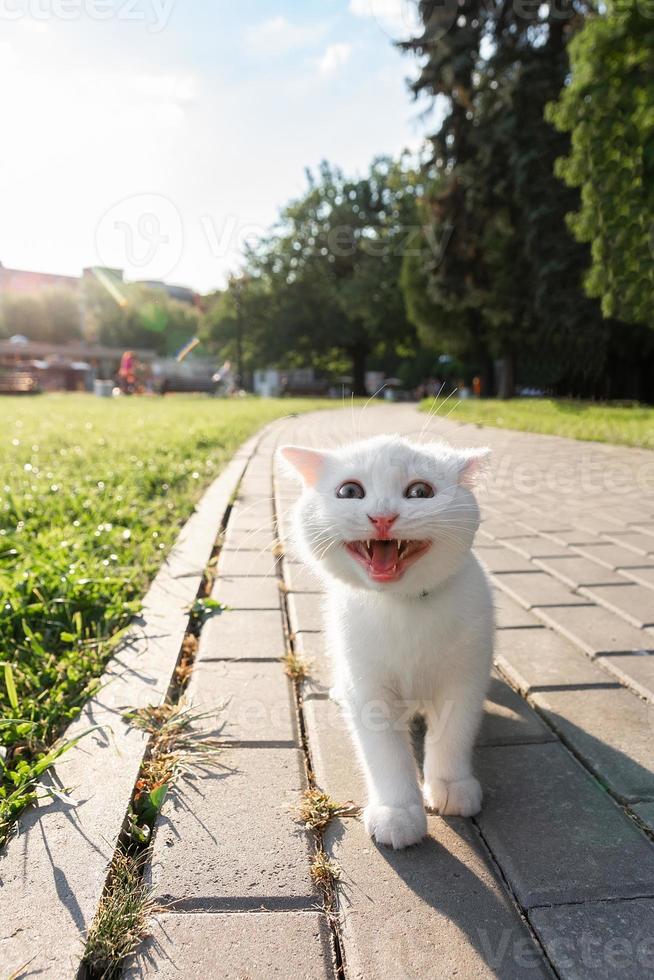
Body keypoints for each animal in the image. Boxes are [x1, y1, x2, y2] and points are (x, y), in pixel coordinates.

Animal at [280, 432, 494, 848]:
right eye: (349, 491)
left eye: (420, 491)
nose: (382, 517)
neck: (403, 606)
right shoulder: (366, 681)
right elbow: (385, 752)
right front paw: (398, 811)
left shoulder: (466, 674)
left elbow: (454, 732)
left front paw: (451, 784)